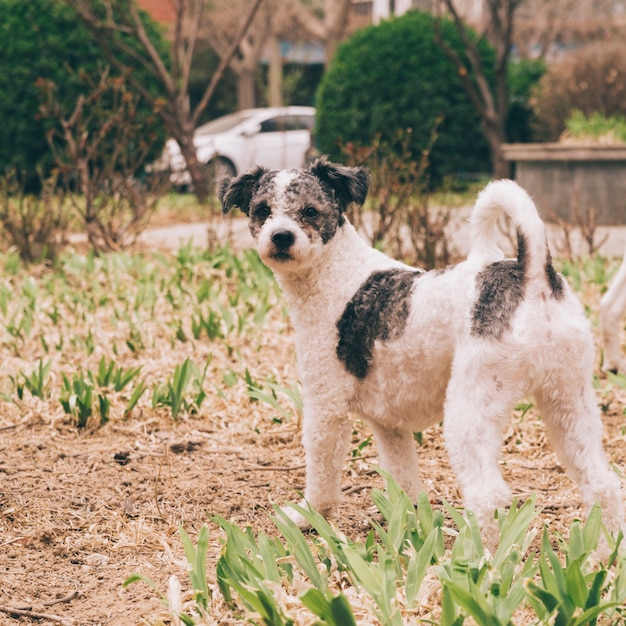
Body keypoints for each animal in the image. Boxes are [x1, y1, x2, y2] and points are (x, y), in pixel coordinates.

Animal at [217, 158, 620, 532]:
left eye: (310, 211)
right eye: (262, 210)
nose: (281, 237)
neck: (337, 272)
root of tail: (532, 273)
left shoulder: (325, 406)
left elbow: (322, 473)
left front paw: (308, 516)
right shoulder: (389, 425)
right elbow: (404, 480)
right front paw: (409, 524)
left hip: (472, 406)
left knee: (488, 495)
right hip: (568, 401)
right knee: (602, 483)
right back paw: (604, 552)